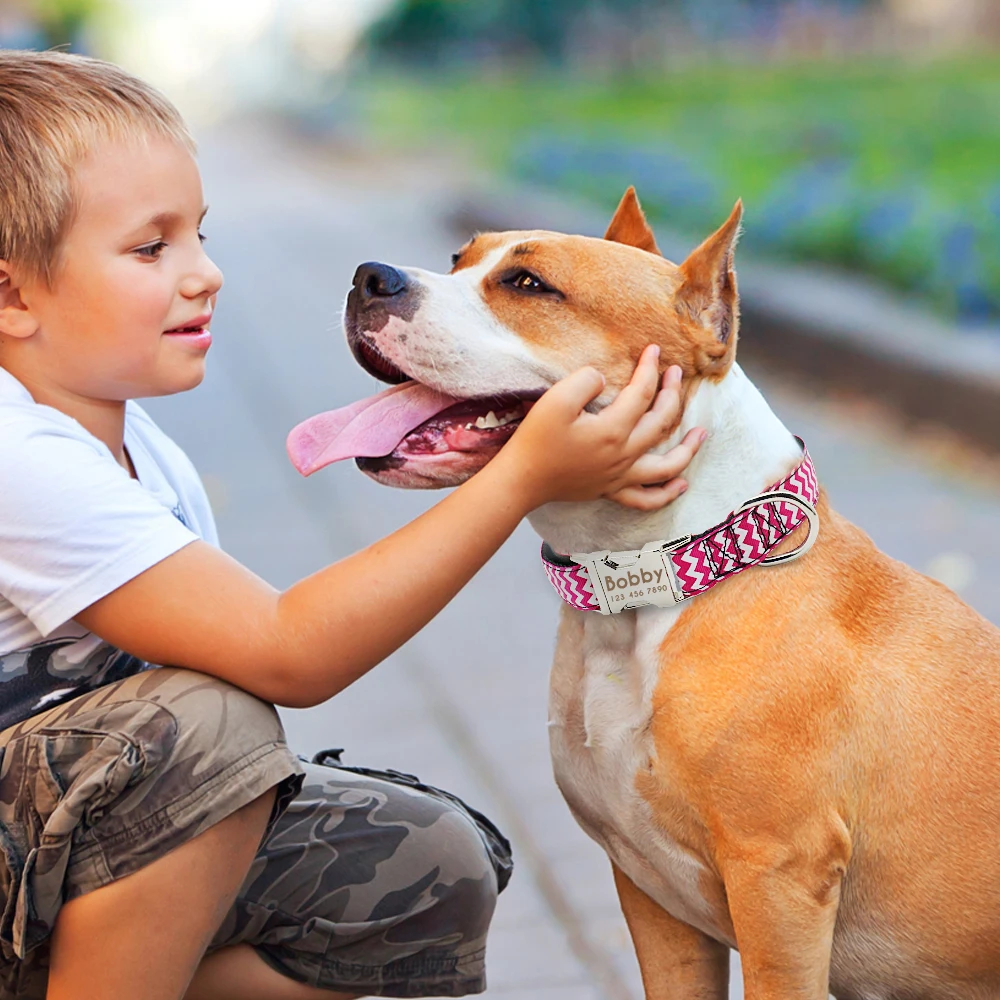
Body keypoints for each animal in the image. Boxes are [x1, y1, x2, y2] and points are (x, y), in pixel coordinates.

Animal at [286, 189, 1000, 1000]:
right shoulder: (651, 892)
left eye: (529, 285)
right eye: (458, 259)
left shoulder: (779, 886)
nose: (370, 277)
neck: (658, 580)